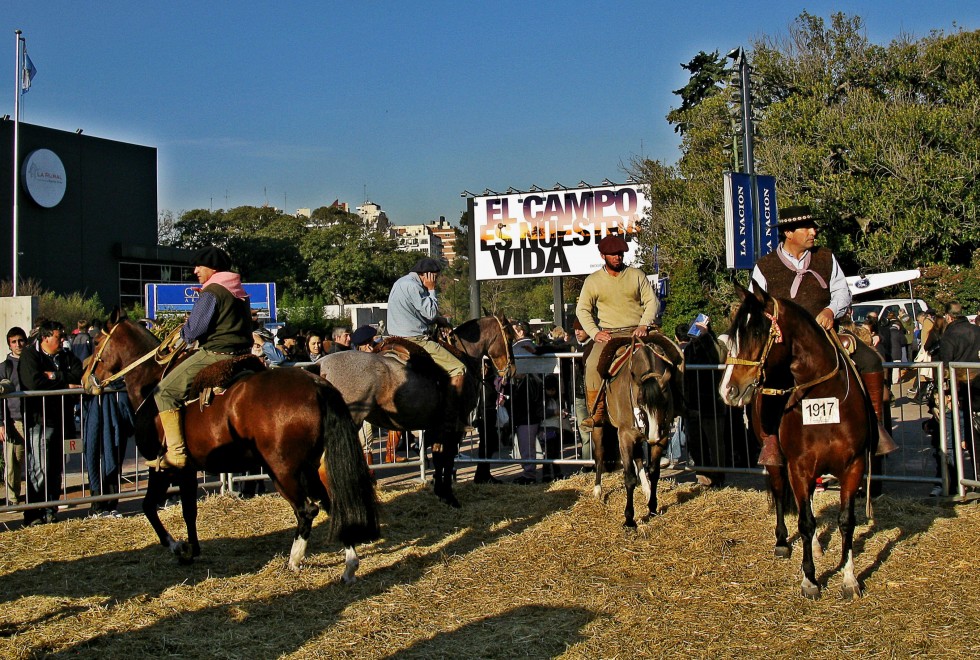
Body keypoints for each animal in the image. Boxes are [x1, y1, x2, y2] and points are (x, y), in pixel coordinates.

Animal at [82, 314, 380, 584]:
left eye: (96, 342)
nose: (85, 380)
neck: (150, 385)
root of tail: (317, 385)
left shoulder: (164, 468)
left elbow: (149, 507)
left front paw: (178, 548)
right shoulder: (187, 470)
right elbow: (189, 510)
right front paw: (192, 549)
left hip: (284, 471)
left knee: (307, 510)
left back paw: (294, 560)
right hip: (309, 467)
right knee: (332, 505)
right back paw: (349, 563)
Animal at [320, 314, 520, 506]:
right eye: (510, 337)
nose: (512, 371)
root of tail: (321, 368)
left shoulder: (438, 427)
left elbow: (439, 456)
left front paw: (440, 492)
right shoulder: (454, 428)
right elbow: (447, 457)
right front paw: (449, 496)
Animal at [588, 332, 680, 528]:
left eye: (665, 403)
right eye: (640, 404)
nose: (652, 437)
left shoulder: (661, 437)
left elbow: (654, 472)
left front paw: (652, 507)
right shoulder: (624, 436)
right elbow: (629, 477)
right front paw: (629, 519)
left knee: (638, 458)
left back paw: (646, 489)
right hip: (600, 426)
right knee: (599, 453)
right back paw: (598, 490)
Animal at [720, 284, 872, 600]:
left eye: (757, 332)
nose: (728, 390)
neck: (822, 395)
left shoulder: (853, 466)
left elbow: (845, 520)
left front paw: (849, 578)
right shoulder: (798, 467)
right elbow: (804, 522)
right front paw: (810, 579)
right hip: (778, 462)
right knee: (781, 494)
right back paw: (782, 543)